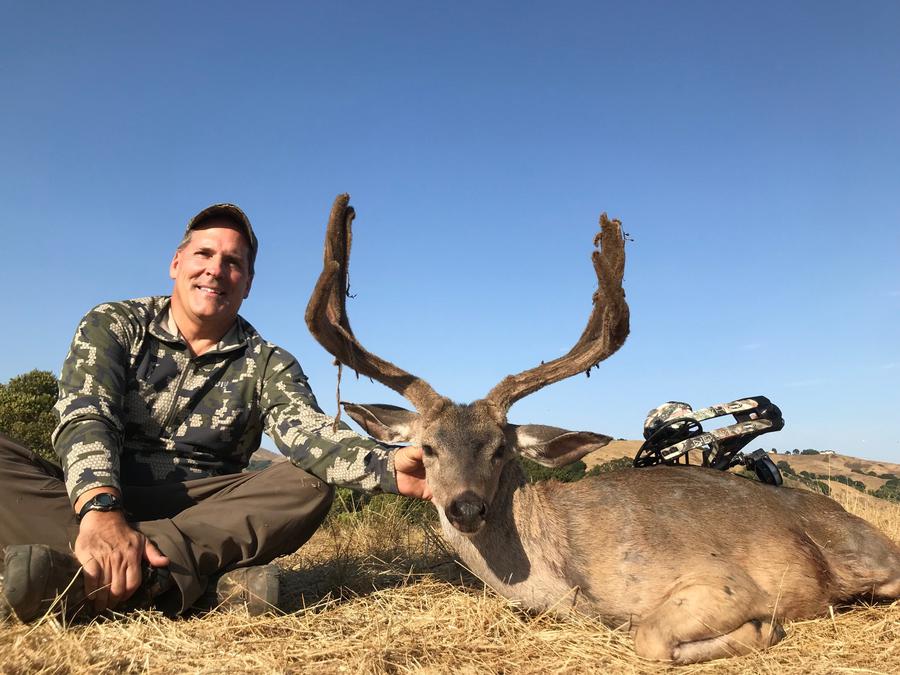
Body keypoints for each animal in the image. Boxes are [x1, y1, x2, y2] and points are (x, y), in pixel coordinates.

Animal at [305, 194, 900, 664]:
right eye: (427, 449)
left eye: (499, 450)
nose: (466, 508)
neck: (561, 574)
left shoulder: (726, 581)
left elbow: (651, 637)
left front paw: (764, 629)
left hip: (863, 552)